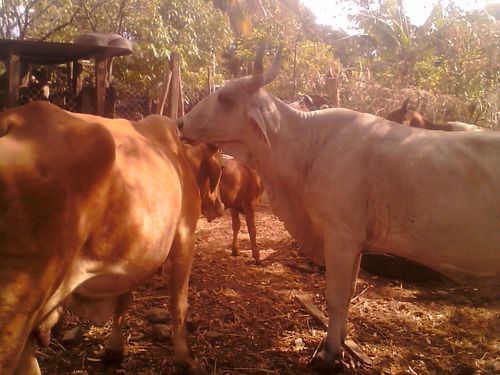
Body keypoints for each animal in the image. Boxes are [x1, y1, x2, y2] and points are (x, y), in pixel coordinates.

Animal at [0, 100, 211, 375]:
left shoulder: (128, 257)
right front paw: (186, 359)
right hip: (19, 302)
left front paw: (114, 349)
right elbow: (178, 304)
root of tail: (12, 120)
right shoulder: (185, 235)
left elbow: (123, 300)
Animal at [179, 49, 500, 374]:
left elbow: (334, 297)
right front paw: (341, 342)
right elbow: (347, 295)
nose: (180, 123)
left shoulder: (340, 236)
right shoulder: (356, 242)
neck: (308, 147)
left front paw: (329, 353)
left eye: (225, 98)